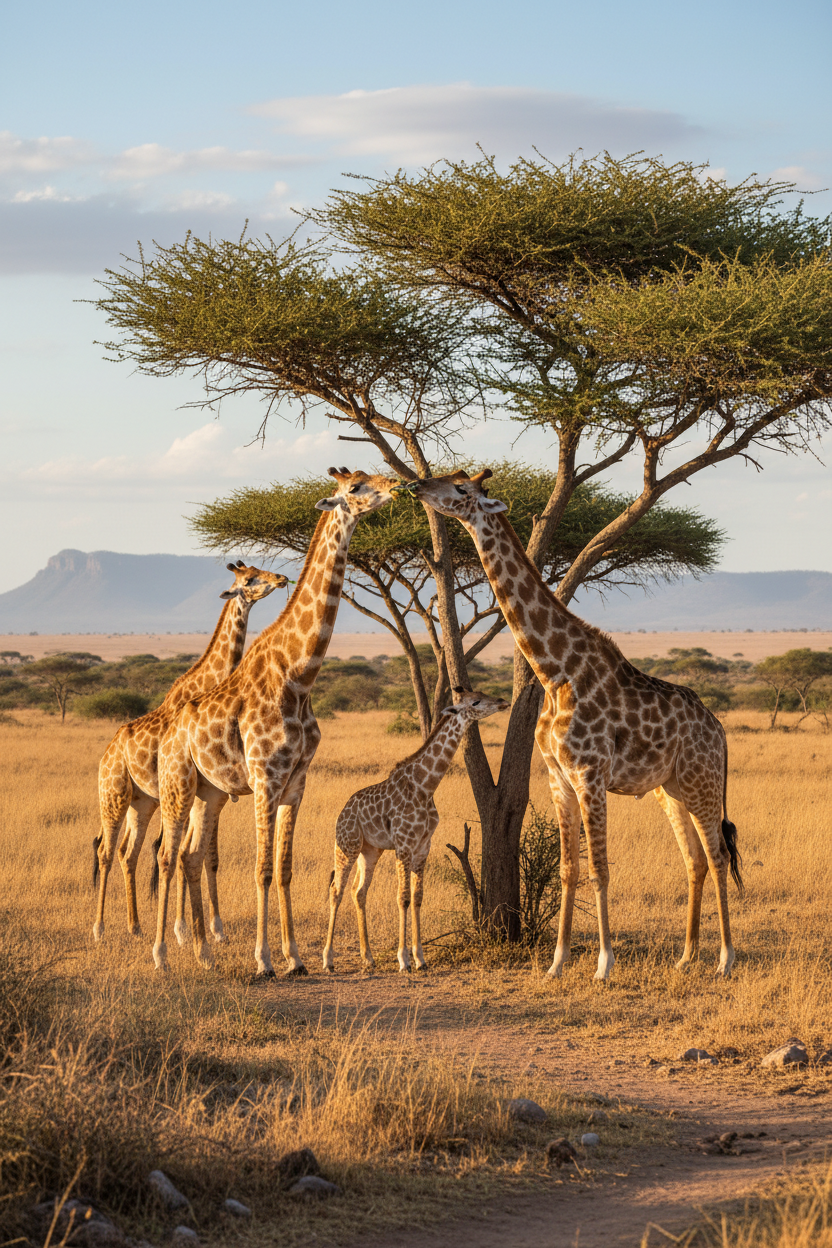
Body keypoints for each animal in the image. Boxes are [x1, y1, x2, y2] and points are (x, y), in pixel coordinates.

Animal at [93, 561, 288, 943]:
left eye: (260, 570)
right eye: (249, 579)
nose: (281, 579)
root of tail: (106, 755)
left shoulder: (212, 794)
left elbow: (207, 857)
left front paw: (214, 928)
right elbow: (184, 853)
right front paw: (184, 930)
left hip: (142, 801)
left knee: (128, 853)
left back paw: (135, 926)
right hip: (114, 795)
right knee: (107, 851)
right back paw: (99, 928)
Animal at [153, 468, 400, 975]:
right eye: (355, 488)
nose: (398, 487)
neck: (299, 676)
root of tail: (167, 730)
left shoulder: (296, 782)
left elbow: (284, 870)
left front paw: (296, 957)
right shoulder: (265, 778)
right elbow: (262, 869)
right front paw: (264, 960)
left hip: (210, 791)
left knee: (190, 856)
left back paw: (205, 953)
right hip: (177, 783)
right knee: (167, 855)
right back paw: (163, 955)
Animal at [323, 689, 509, 974]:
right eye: (475, 701)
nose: (503, 702)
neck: (425, 787)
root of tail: (342, 812)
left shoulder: (423, 847)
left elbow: (418, 897)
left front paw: (420, 958)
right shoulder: (403, 845)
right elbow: (403, 897)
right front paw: (403, 960)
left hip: (371, 851)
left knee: (359, 892)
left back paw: (368, 957)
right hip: (347, 845)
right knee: (336, 890)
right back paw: (328, 960)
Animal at [405, 470, 743, 980]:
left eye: (462, 489)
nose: (417, 488)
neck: (554, 671)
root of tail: (719, 730)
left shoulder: (590, 774)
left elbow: (600, 868)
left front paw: (604, 965)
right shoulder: (557, 776)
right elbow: (569, 869)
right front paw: (557, 963)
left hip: (701, 782)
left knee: (719, 855)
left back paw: (724, 959)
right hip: (671, 790)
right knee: (695, 860)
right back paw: (687, 956)